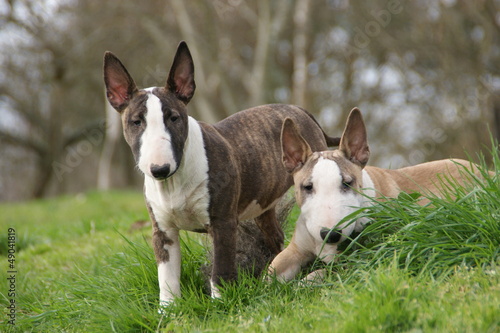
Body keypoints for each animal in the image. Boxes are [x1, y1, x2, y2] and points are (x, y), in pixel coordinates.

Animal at [102, 40, 340, 304]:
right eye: (136, 122)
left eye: (174, 118)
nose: (160, 169)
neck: (175, 182)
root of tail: (301, 110)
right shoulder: (163, 232)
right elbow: (167, 279)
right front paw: (169, 310)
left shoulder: (223, 223)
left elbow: (221, 269)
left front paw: (220, 305)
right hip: (263, 204)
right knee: (276, 236)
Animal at [268, 107, 486, 282]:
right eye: (307, 187)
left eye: (347, 183)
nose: (331, 234)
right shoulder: (295, 249)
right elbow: (270, 271)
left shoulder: (362, 255)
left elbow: (323, 272)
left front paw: (304, 282)